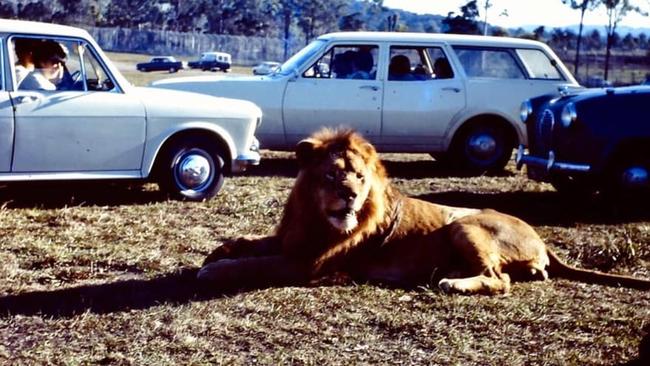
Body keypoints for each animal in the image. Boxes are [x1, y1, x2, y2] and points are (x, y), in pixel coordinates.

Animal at [197, 129, 648, 294]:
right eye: (332, 175)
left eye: (359, 177)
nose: (350, 196)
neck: (314, 215)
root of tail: (541, 238)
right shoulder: (291, 239)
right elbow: (248, 243)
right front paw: (219, 251)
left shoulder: (306, 263)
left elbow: (251, 265)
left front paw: (213, 269)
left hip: (465, 225)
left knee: (499, 280)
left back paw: (453, 283)